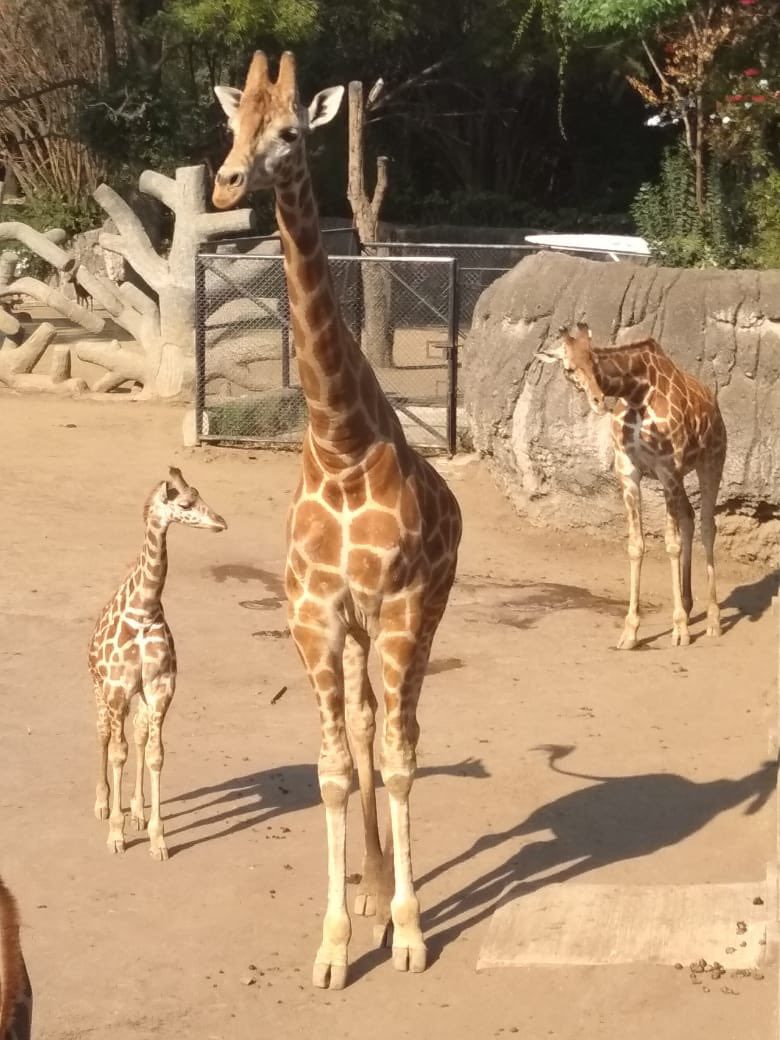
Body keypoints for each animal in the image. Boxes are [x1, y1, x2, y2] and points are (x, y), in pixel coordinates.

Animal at [88, 467, 227, 860]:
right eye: (186, 504)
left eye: (200, 495)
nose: (221, 522)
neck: (144, 609)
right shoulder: (117, 689)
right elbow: (117, 753)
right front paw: (115, 835)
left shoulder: (160, 687)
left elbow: (155, 754)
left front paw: (157, 838)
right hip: (99, 689)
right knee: (104, 734)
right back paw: (103, 804)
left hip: (139, 697)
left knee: (138, 734)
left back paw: (136, 810)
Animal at [212, 52, 462, 989]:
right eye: (229, 127)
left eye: (290, 132)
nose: (225, 183)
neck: (340, 440)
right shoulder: (315, 616)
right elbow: (331, 769)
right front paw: (331, 943)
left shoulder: (396, 607)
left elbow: (397, 761)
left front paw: (412, 934)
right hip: (358, 633)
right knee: (362, 728)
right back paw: (371, 887)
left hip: (419, 617)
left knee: (400, 734)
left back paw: (393, 899)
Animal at [537, 322, 727, 650]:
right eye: (570, 368)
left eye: (595, 360)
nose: (599, 400)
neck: (637, 394)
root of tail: (714, 405)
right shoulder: (629, 471)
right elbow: (636, 545)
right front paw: (630, 632)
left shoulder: (667, 468)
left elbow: (672, 544)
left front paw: (679, 630)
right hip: (682, 476)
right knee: (689, 519)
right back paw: (689, 606)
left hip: (711, 463)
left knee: (706, 526)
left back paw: (713, 620)